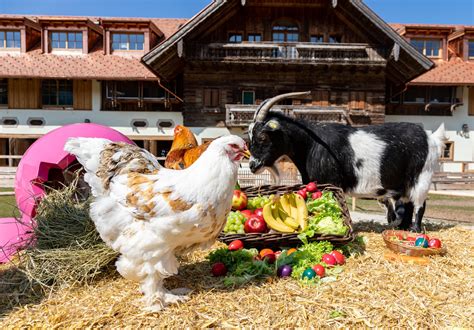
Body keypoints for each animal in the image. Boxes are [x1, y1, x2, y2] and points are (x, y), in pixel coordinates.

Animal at [250, 91, 446, 232]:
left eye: (262, 137)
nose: (252, 166)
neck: (311, 144)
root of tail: (430, 138)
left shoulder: (331, 183)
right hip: (405, 185)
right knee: (408, 205)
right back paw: (402, 228)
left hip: (422, 178)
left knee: (420, 205)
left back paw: (415, 230)